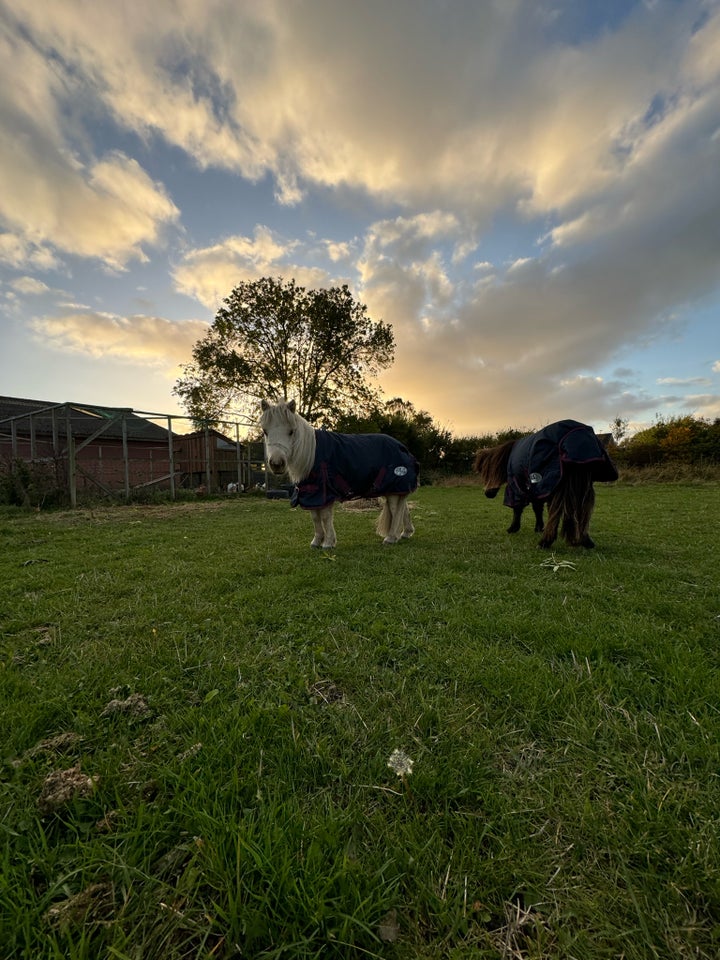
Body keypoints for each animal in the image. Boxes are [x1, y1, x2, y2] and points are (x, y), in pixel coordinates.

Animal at [260, 400, 420, 548]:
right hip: (392, 489)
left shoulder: (324, 493)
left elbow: (325, 517)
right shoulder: (311, 494)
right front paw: (317, 541)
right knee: (403, 509)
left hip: (394, 489)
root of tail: (402, 447)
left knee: (396, 510)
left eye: (291, 431)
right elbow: (315, 517)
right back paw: (406, 533)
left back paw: (391, 538)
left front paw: (328, 542)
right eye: (265, 431)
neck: (312, 455)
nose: (276, 463)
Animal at [472, 420, 620, 548]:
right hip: (580, 486)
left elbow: (518, 509)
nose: (487, 494)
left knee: (556, 513)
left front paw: (513, 528)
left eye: (486, 473)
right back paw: (585, 541)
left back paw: (545, 542)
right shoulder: (537, 488)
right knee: (582, 512)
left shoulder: (519, 486)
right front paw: (538, 527)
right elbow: (537, 508)